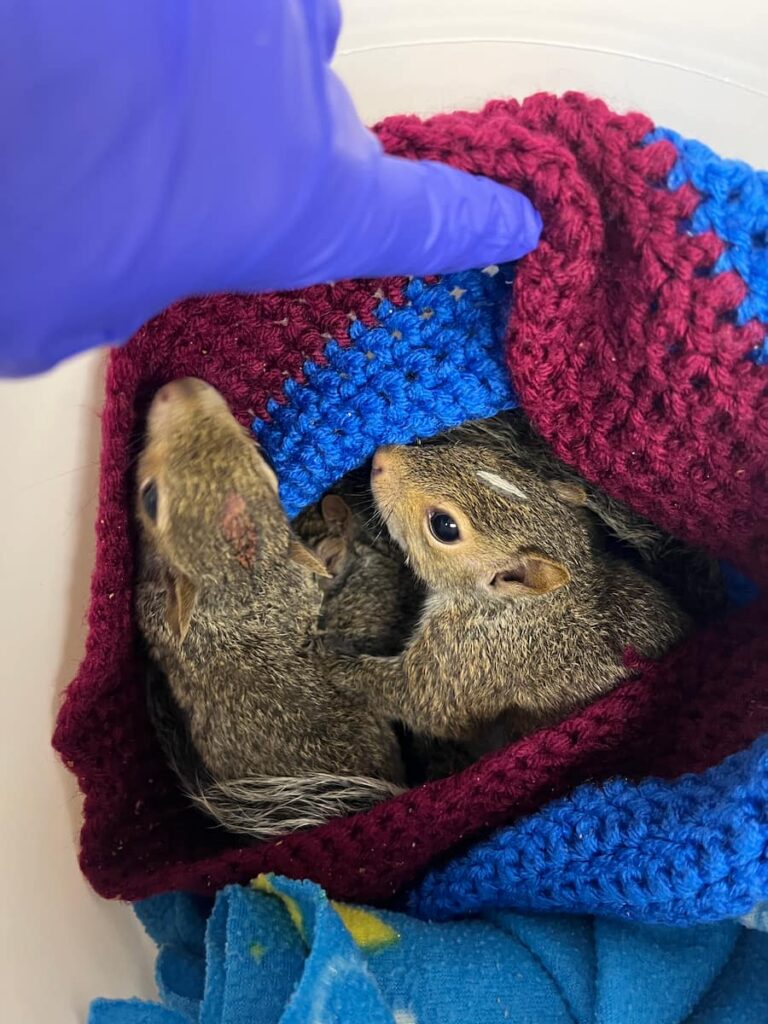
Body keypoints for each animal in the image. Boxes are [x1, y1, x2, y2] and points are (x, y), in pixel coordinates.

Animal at [330, 413, 695, 744]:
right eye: (478, 454)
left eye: (444, 526)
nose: (380, 458)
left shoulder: (466, 656)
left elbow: (420, 699)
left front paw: (335, 666)